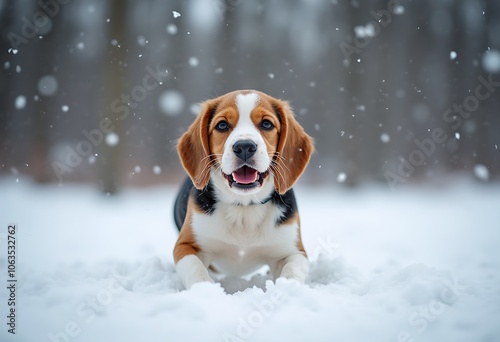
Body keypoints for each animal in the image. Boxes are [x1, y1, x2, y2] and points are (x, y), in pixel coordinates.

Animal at [172, 89, 312, 288]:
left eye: (267, 124)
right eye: (222, 125)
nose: (244, 146)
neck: (244, 207)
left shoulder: (294, 251)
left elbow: (293, 270)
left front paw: (286, 288)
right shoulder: (185, 245)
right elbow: (195, 268)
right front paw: (205, 289)